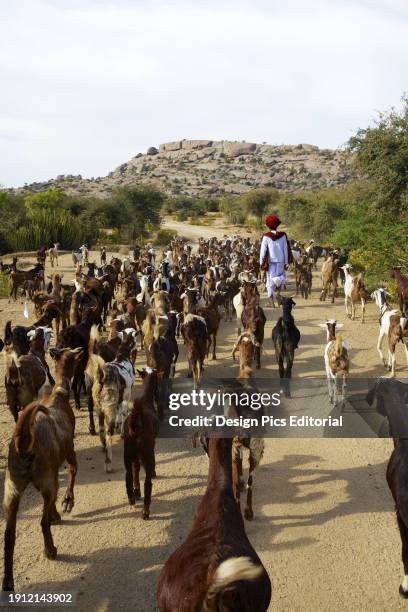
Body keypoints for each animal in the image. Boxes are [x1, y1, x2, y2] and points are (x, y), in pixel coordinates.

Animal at [2, 346, 83, 592]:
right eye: (73, 356)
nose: (80, 349)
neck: (59, 393)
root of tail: (23, 444)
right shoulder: (69, 450)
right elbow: (73, 470)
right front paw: (68, 501)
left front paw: (58, 510)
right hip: (45, 480)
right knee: (42, 521)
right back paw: (50, 550)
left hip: (12, 488)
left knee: (9, 535)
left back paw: (7, 581)